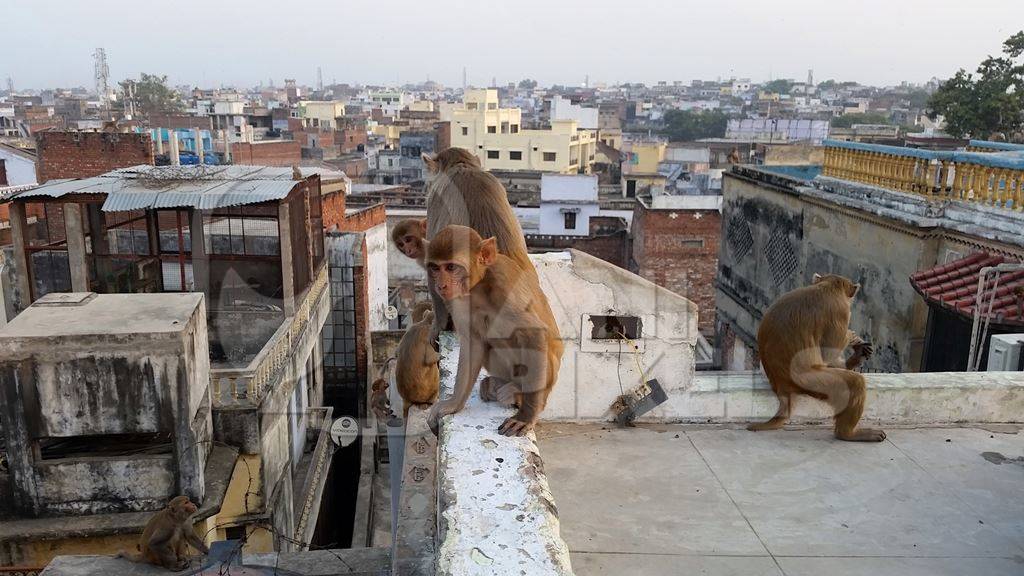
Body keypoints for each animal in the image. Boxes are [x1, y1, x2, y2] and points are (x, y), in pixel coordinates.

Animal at [425, 224, 565, 434]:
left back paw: (517, 392)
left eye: (450, 267)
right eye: (435, 267)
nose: (440, 285)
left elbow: (534, 334)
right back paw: (495, 385)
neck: (479, 286)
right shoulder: (459, 301)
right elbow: (473, 344)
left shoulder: (504, 286)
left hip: (547, 378)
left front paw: (525, 417)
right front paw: (453, 405)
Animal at [745, 270, 880, 440]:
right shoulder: (841, 312)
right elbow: (828, 353)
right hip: (812, 382)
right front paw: (852, 336)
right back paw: (847, 434)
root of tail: (781, 384)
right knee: (854, 383)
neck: (828, 287)